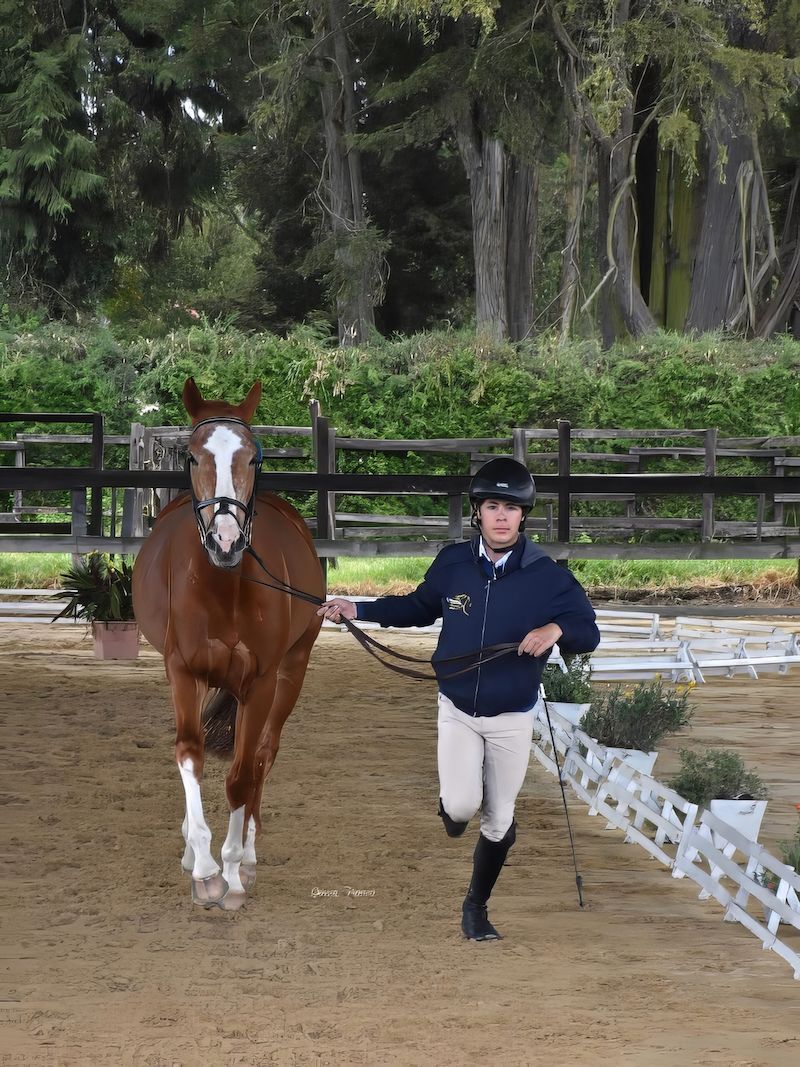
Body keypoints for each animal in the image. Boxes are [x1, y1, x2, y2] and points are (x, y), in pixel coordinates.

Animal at [132, 378, 324, 910]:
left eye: (253, 457)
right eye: (192, 455)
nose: (225, 539)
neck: (223, 589)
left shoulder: (260, 683)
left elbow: (241, 774)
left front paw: (234, 874)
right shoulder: (183, 671)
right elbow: (190, 754)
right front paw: (203, 868)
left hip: (291, 674)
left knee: (262, 755)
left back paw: (250, 857)